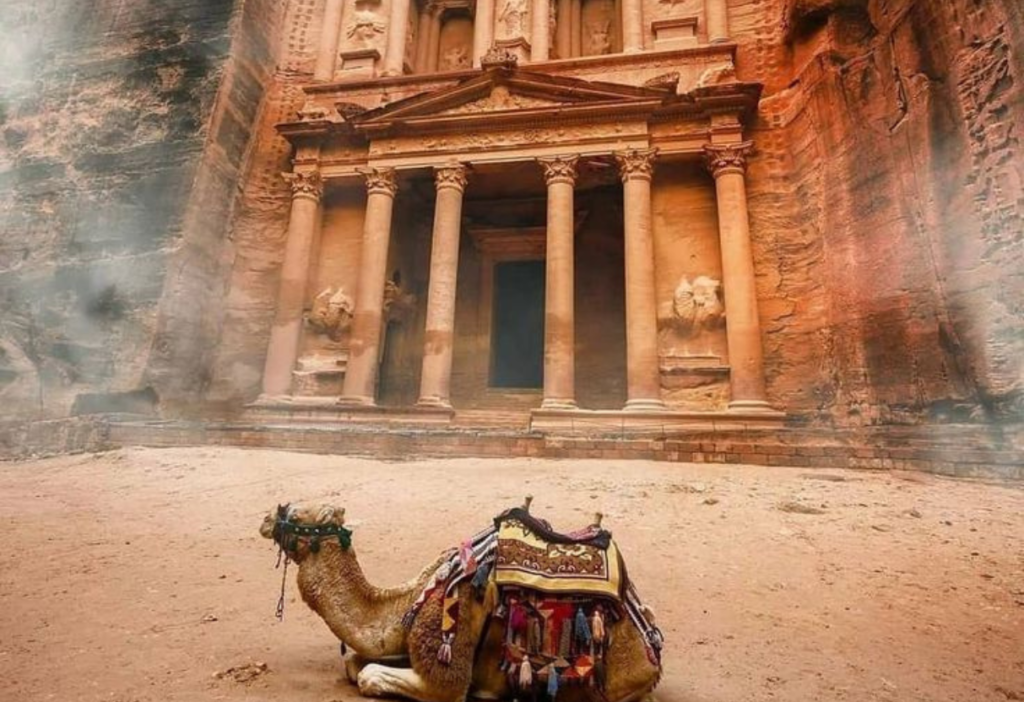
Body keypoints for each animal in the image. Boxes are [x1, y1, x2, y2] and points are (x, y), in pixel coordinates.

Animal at [260, 501, 663, 702]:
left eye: (296, 514)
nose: (266, 517)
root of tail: (653, 649)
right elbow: (355, 662)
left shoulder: (445, 654)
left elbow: (369, 675)